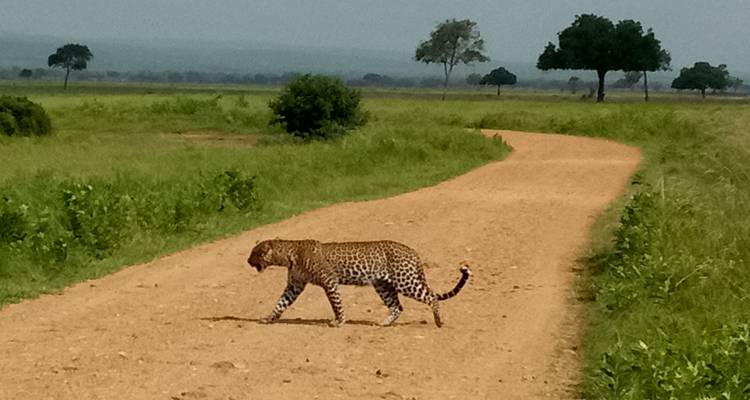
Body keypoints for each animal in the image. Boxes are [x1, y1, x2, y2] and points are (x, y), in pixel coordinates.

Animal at [247, 238, 471, 327]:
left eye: (254, 253)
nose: (247, 261)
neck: (289, 255)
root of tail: (413, 251)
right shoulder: (294, 286)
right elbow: (280, 303)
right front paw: (268, 318)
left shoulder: (329, 281)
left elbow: (336, 304)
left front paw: (339, 321)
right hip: (383, 285)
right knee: (397, 306)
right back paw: (383, 323)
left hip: (405, 281)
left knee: (431, 297)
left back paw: (438, 322)